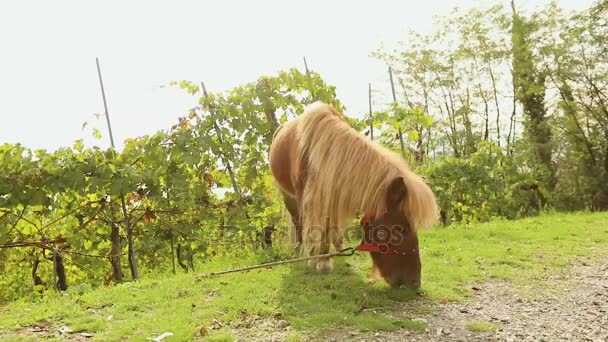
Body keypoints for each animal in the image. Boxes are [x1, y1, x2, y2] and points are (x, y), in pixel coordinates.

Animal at [270, 101, 436, 288]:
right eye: (401, 229)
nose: (415, 282)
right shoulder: (306, 197)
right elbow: (312, 226)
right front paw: (316, 259)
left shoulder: (331, 192)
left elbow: (328, 224)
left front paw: (324, 258)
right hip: (287, 195)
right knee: (298, 223)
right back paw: (299, 252)